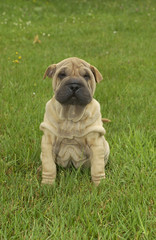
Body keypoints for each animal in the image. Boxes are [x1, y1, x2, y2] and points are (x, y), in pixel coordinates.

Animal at [39, 57, 109, 187]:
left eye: (86, 76)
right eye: (62, 74)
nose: (74, 85)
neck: (71, 115)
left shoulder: (96, 143)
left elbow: (97, 167)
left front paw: (99, 184)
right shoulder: (47, 142)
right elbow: (49, 165)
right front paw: (47, 185)